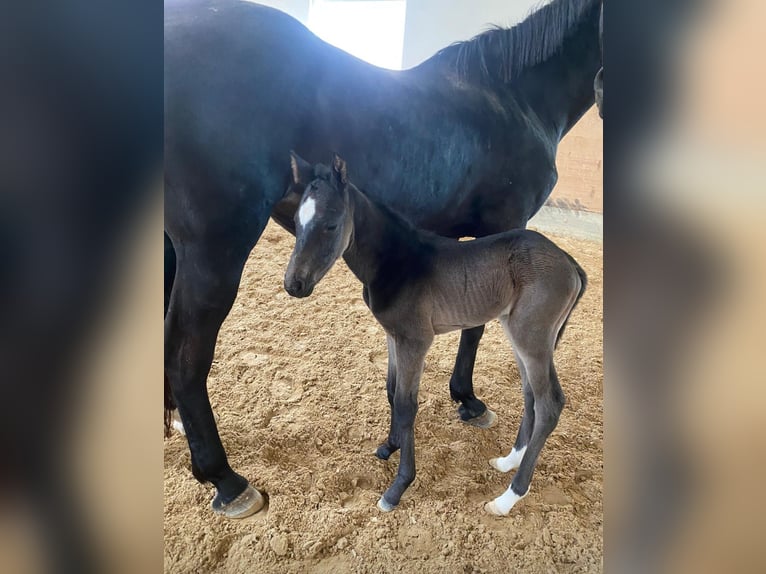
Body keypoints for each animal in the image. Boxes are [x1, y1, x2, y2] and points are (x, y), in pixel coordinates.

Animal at [165, 0, 604, 520]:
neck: (516, 96)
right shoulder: (504, 220)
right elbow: (474, 328)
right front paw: (466, 400)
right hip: (214, 249)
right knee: (187, 355)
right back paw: (225, 479)